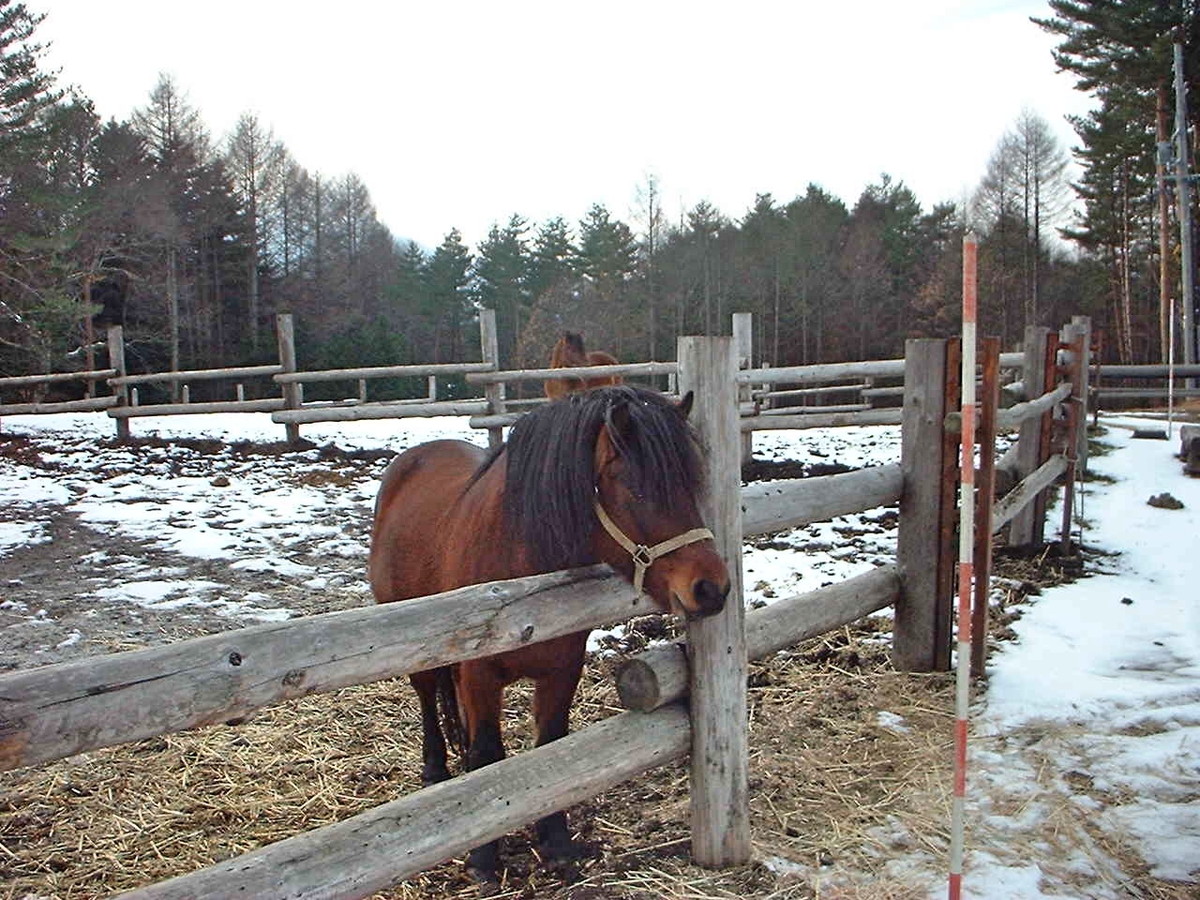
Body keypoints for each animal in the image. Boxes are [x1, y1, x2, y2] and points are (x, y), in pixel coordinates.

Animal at [369, 381, 729, 883]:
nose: (711, 588)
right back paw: (436, 772)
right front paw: (483, 858)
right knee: (426, 699)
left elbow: (551, 747)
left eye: (690, 483)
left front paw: (556, 840)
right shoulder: (478, 675)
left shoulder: (561, 670)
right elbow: (488, 752)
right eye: (636, 489)